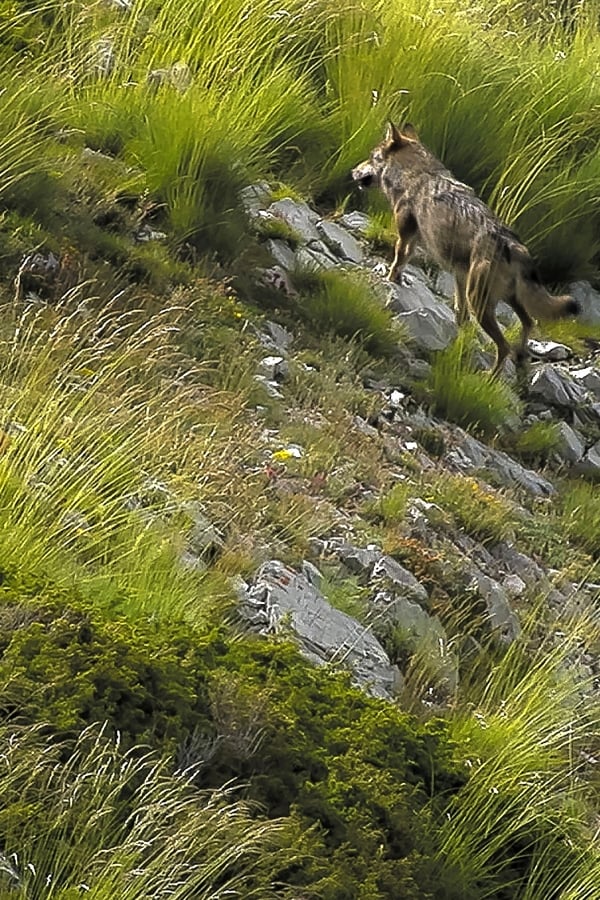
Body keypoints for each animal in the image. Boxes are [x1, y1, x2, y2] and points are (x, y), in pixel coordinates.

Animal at [350, 121, 580, 374]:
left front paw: (390, 280)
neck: (418, 174)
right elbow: (459, 312)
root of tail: (514, 246)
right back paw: (520, 358)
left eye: (371, 157)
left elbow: (398, 260)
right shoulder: (456, 273)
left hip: (480, 304)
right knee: (529, 324)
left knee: (504, 346)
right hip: (507, 299)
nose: (353, 171)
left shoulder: (405, 235)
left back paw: (490, 377)